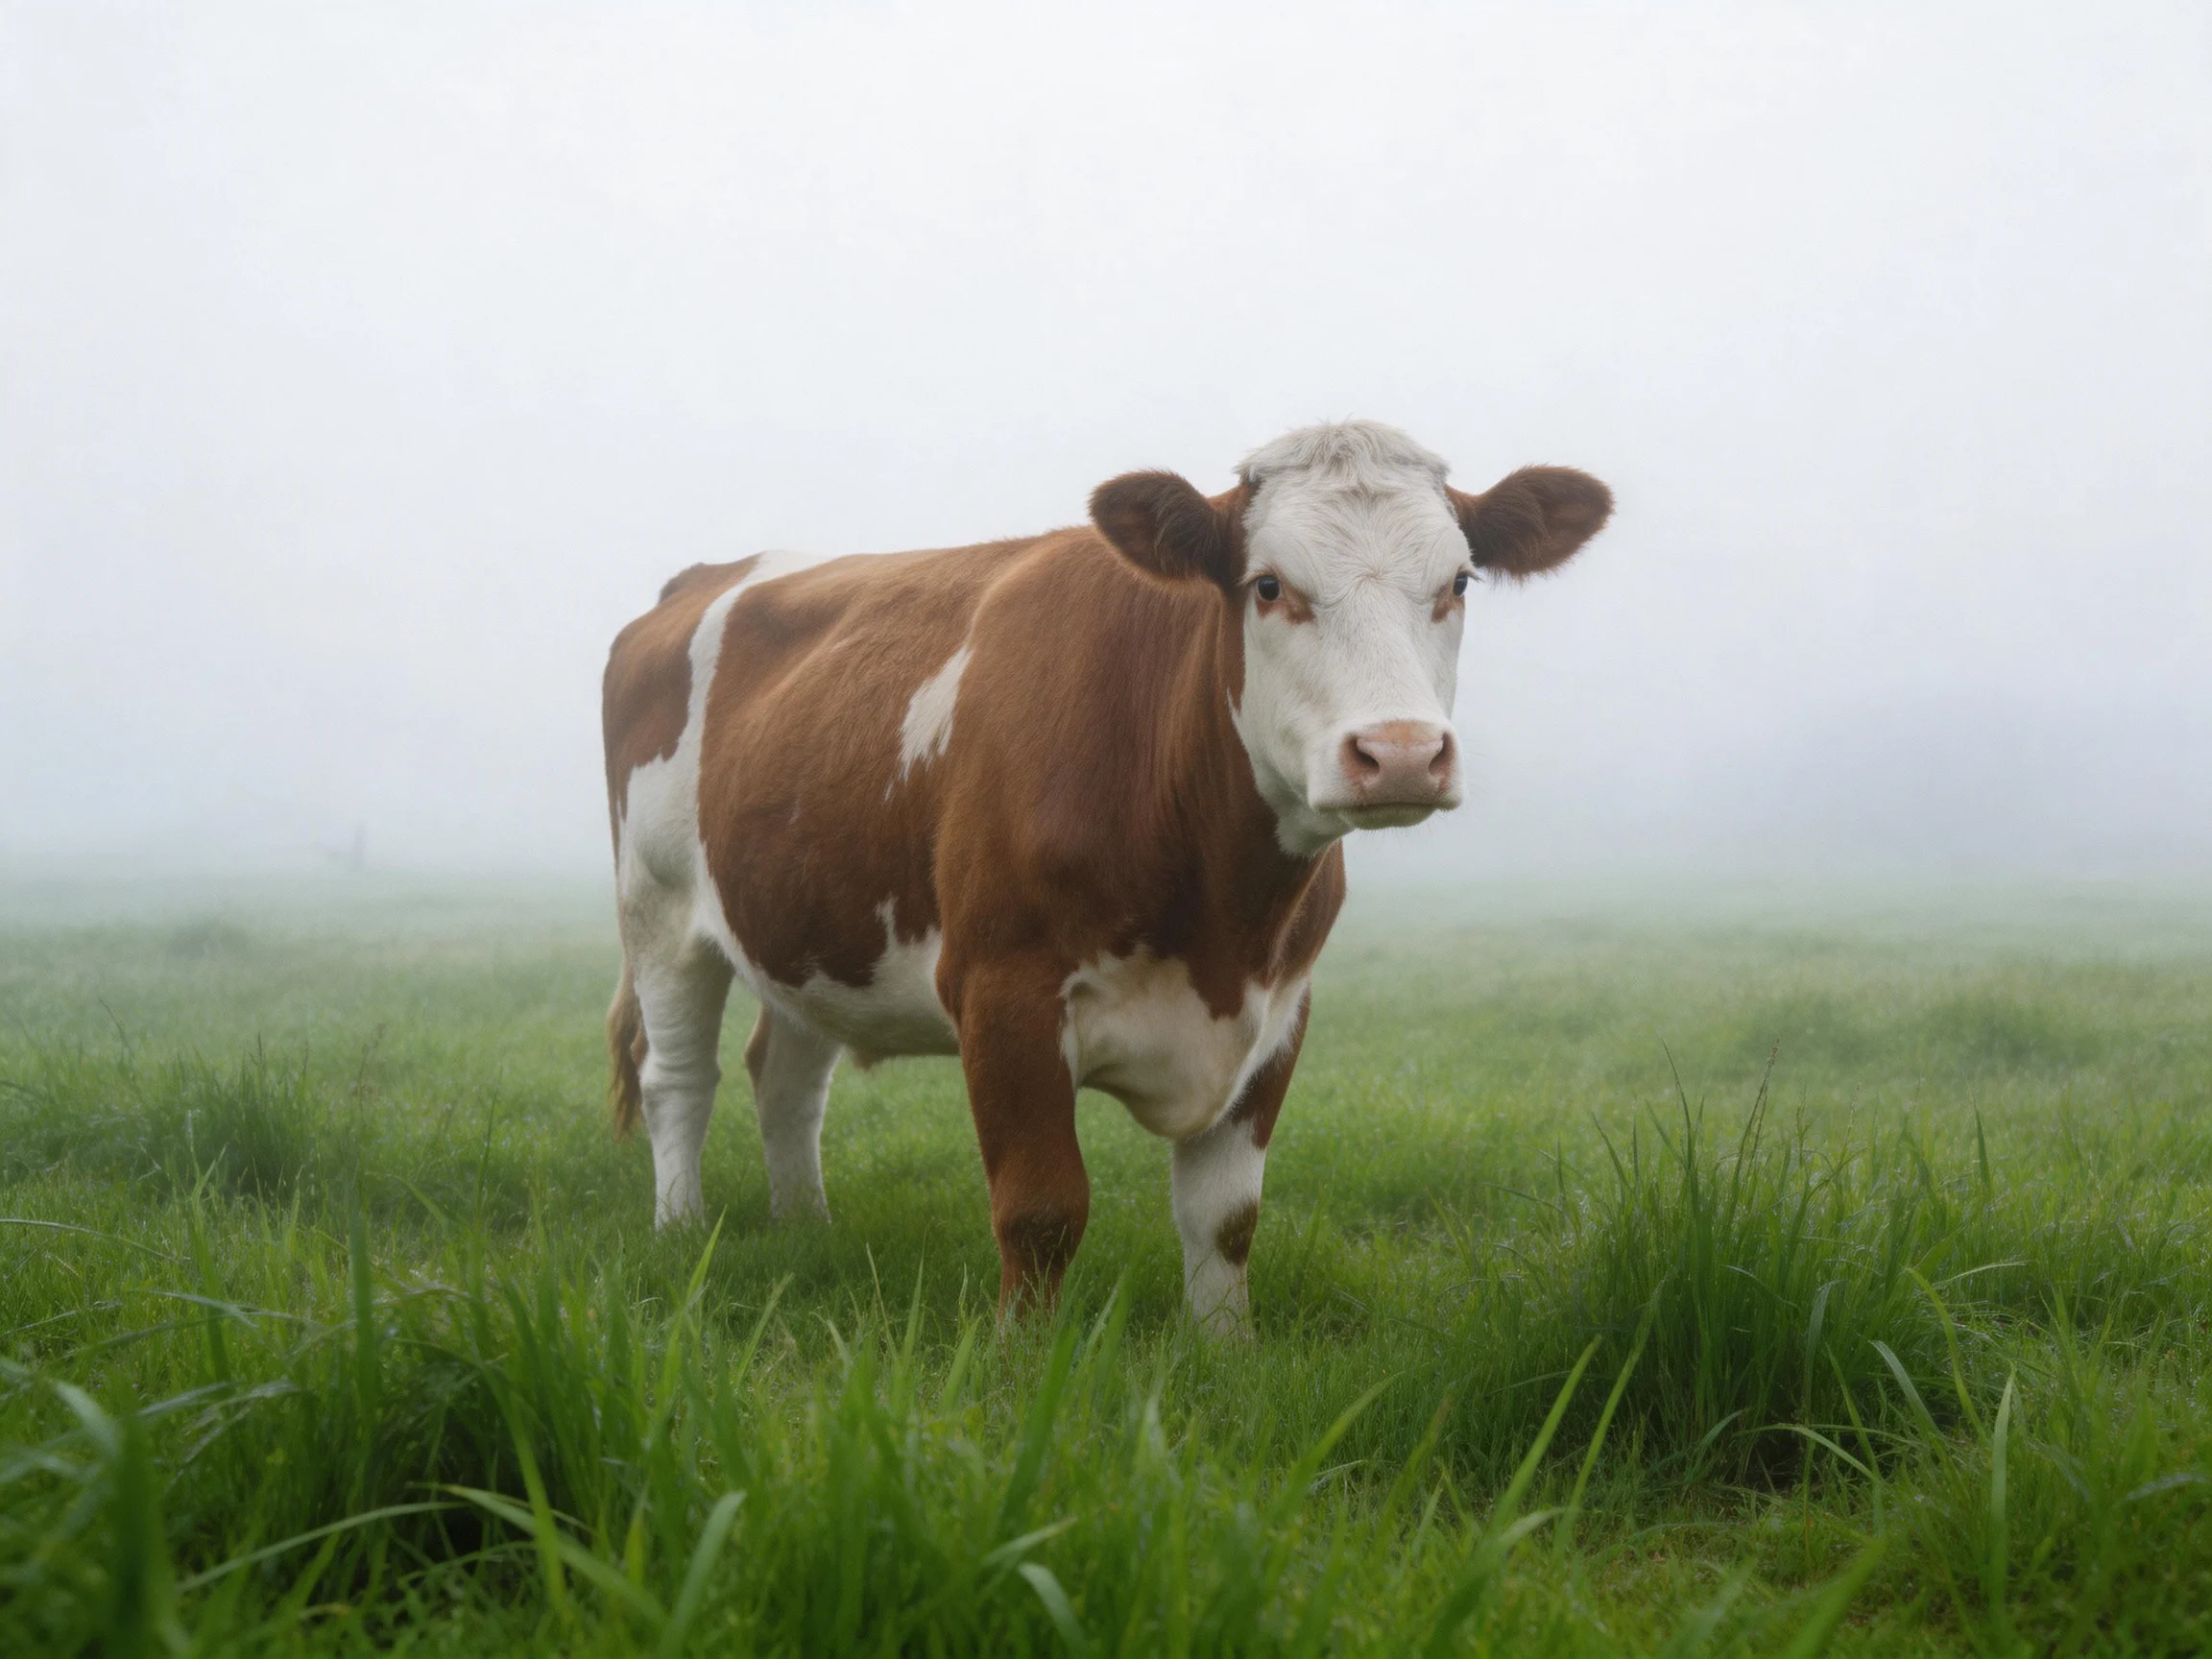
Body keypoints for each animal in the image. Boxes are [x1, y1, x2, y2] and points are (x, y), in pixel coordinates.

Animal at [601, 421, 1610, 1332]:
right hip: (659, 909)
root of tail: (704, 577)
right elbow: (1040, 1210)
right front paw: (1020, 1365)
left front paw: (1224, 1354)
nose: (1400, 753)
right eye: (1268, 585)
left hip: (806, 921)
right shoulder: (1003, 993)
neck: (1222, 918)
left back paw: (807, 1230)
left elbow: (1225, 1217)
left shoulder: (1282, 1008)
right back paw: (679, 1234)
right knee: (676, 1077)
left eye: (1459, 582)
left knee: (786, 1078)